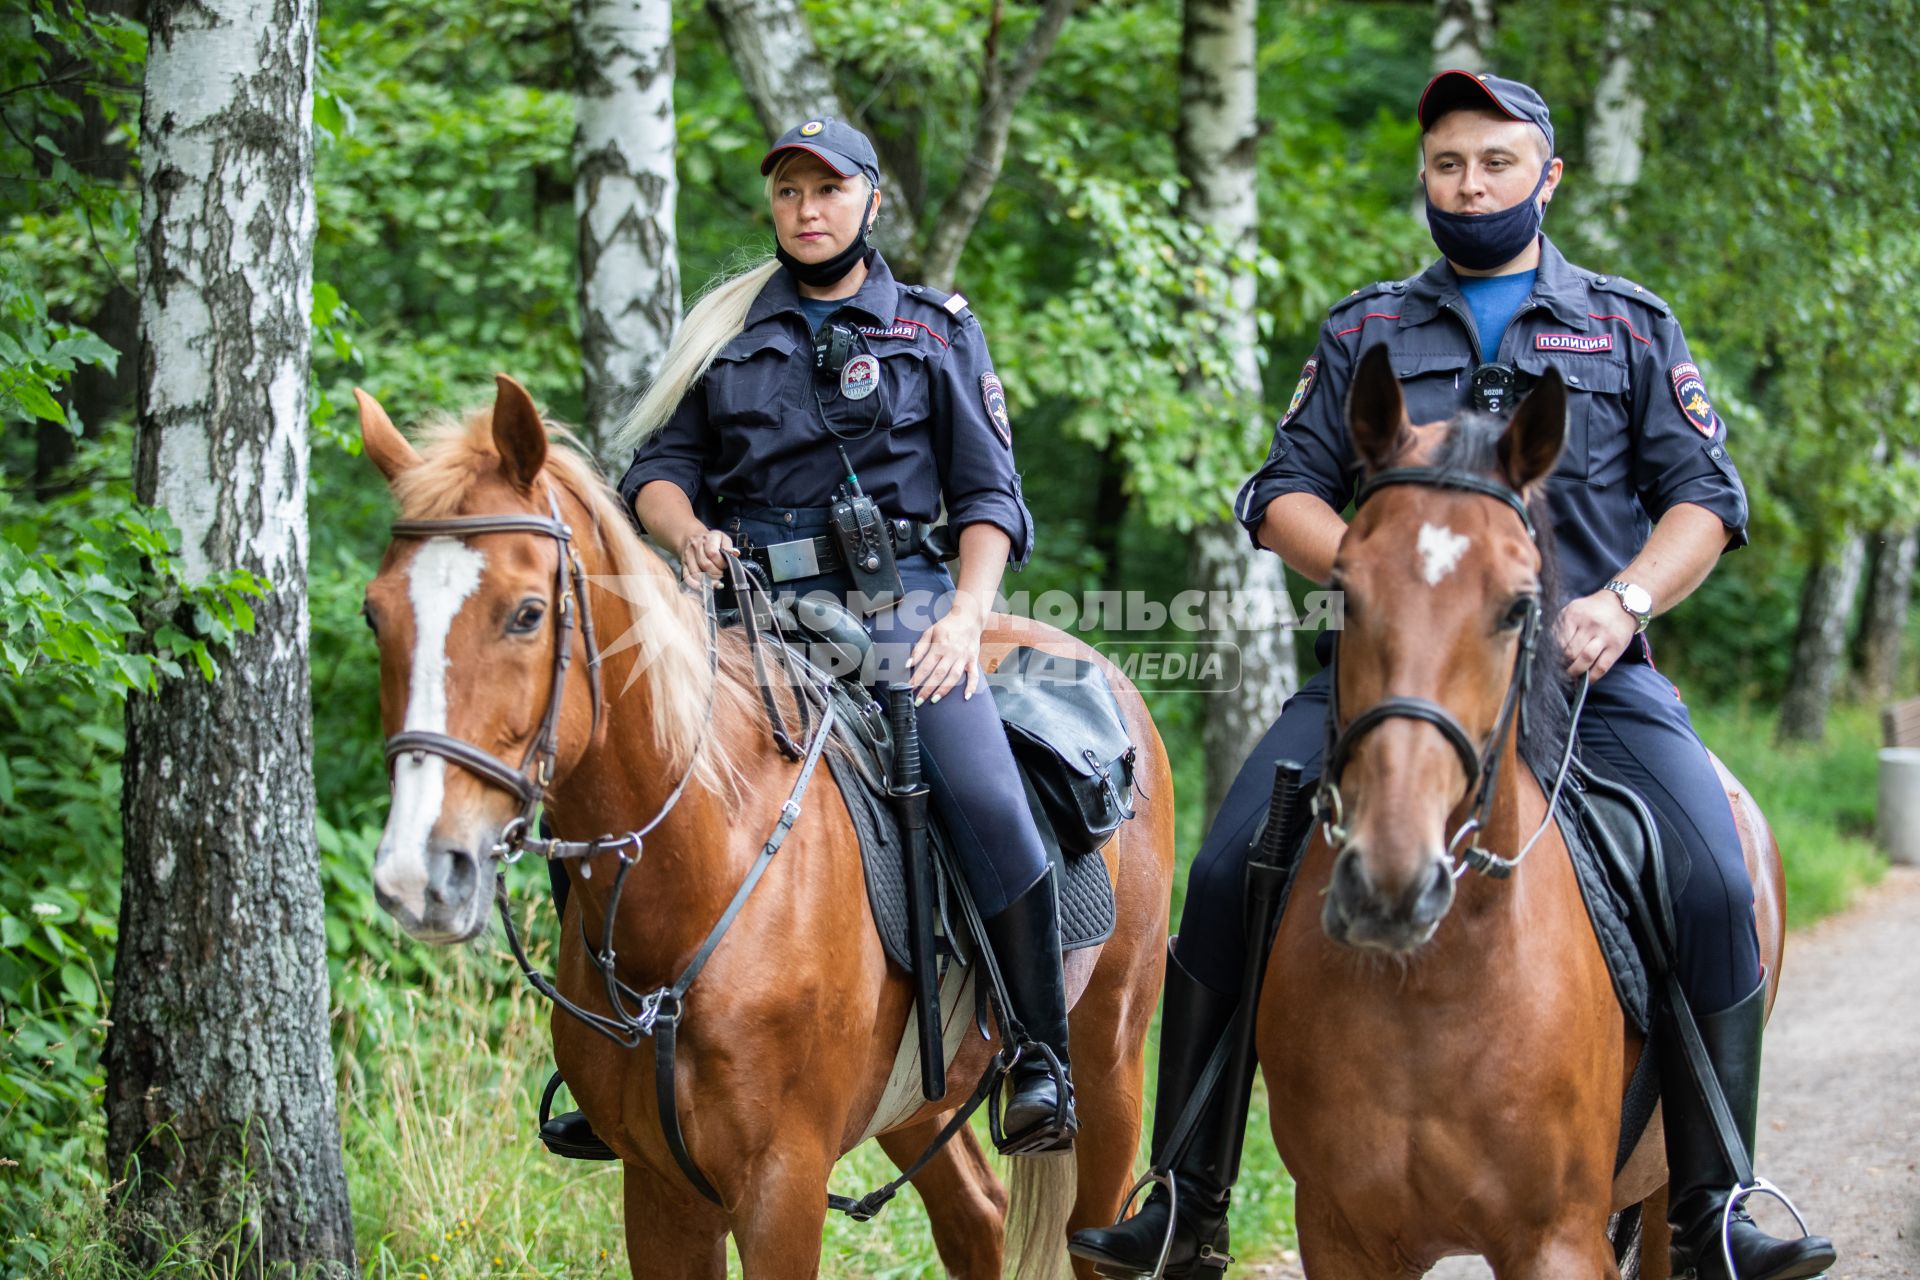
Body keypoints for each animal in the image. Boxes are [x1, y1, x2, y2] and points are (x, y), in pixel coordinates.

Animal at [355, 378, 1175, 1280]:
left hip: (1112, 1064)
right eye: (375, 616)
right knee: (977, 1216)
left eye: (528, 614)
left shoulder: (781, 1186)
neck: (704, 869)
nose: (418, 874)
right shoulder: (660, 1190)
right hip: (918, 1102)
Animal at [1259, 345, 1781, 1274]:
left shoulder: (1556, 1242)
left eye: (1516, 606)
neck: (1431, 986)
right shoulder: (1340, 1234)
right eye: (1346, 591)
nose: (1391, 882)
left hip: (1658, 1198)